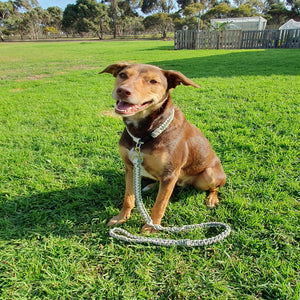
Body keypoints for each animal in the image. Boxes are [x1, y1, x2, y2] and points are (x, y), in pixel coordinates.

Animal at [99, 62, 226, 232]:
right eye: (123, 75)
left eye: (153, 81)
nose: (123, 91)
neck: (142, 135)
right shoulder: (130, 167)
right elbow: (129, 197)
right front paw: (121, 217)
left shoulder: (169, 174)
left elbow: (159, 205)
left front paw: (152, 226)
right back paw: (150, 186)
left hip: (209, 174)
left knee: (215, 187)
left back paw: (212, 199)